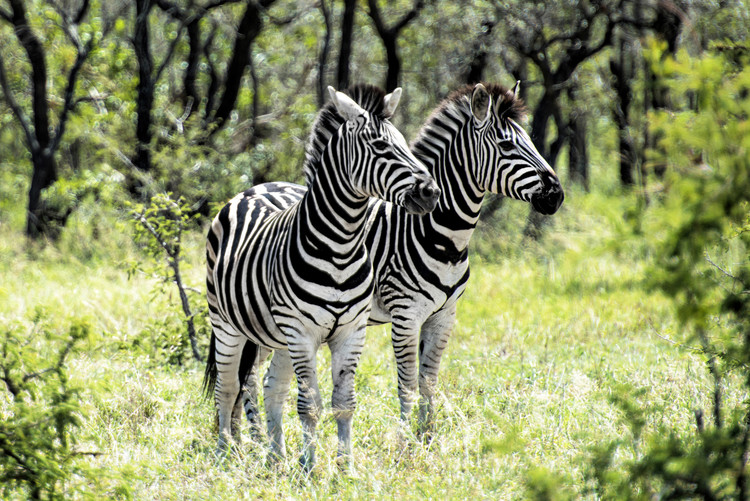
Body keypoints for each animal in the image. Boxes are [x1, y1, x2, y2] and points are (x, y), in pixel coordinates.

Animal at [206, 83, 440, 468]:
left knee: (272, 388)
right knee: (227, 389)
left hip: (277, 336)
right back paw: (226, 454)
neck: (341, 246)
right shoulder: (302, 333)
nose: (431, 193)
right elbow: (309, 405)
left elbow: (343, 404)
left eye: (406, 144)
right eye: (381, 146)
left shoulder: (350, 332)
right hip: (226, 325)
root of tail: (251, 190)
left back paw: (276, 457)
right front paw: (311, 468)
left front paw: (345, 467)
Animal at [241, 83, 564, 442]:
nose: (556, 195)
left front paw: (428, 438)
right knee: (248, 380)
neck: (441, 237)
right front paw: (406, 443)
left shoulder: (444, 316)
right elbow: (407, 384)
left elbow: (429, 382)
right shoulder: (406, 315)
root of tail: (260, 186)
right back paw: (252, 442)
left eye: (531, 141)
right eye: (506, 145)